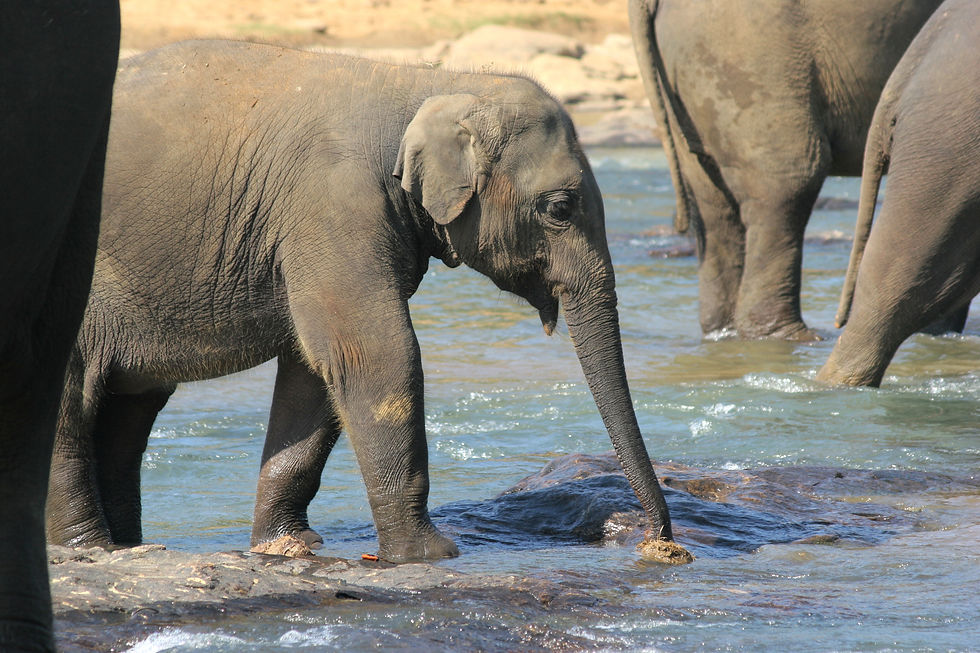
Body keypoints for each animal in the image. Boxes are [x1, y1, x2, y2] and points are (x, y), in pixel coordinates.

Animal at [46, 40, 679, 563]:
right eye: (559, 208)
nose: (660, 543)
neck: (432, 82)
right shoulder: (333, 207)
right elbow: (376, 355)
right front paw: (429, 556)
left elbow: (315, 372)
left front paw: (288, 547)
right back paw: (92, 549)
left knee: (131, 408)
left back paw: (130, 546)